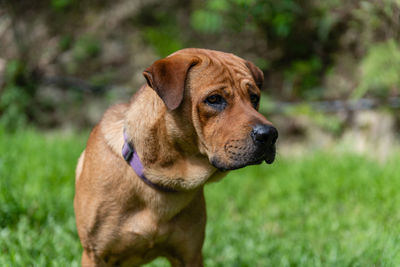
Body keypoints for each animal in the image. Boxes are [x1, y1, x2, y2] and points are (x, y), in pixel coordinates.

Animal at [73, 48, 276, 267]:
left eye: (254, 98)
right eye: (214, 99)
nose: (270, 134)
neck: (162, 178)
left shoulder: (190, 255)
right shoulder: (95, 254)